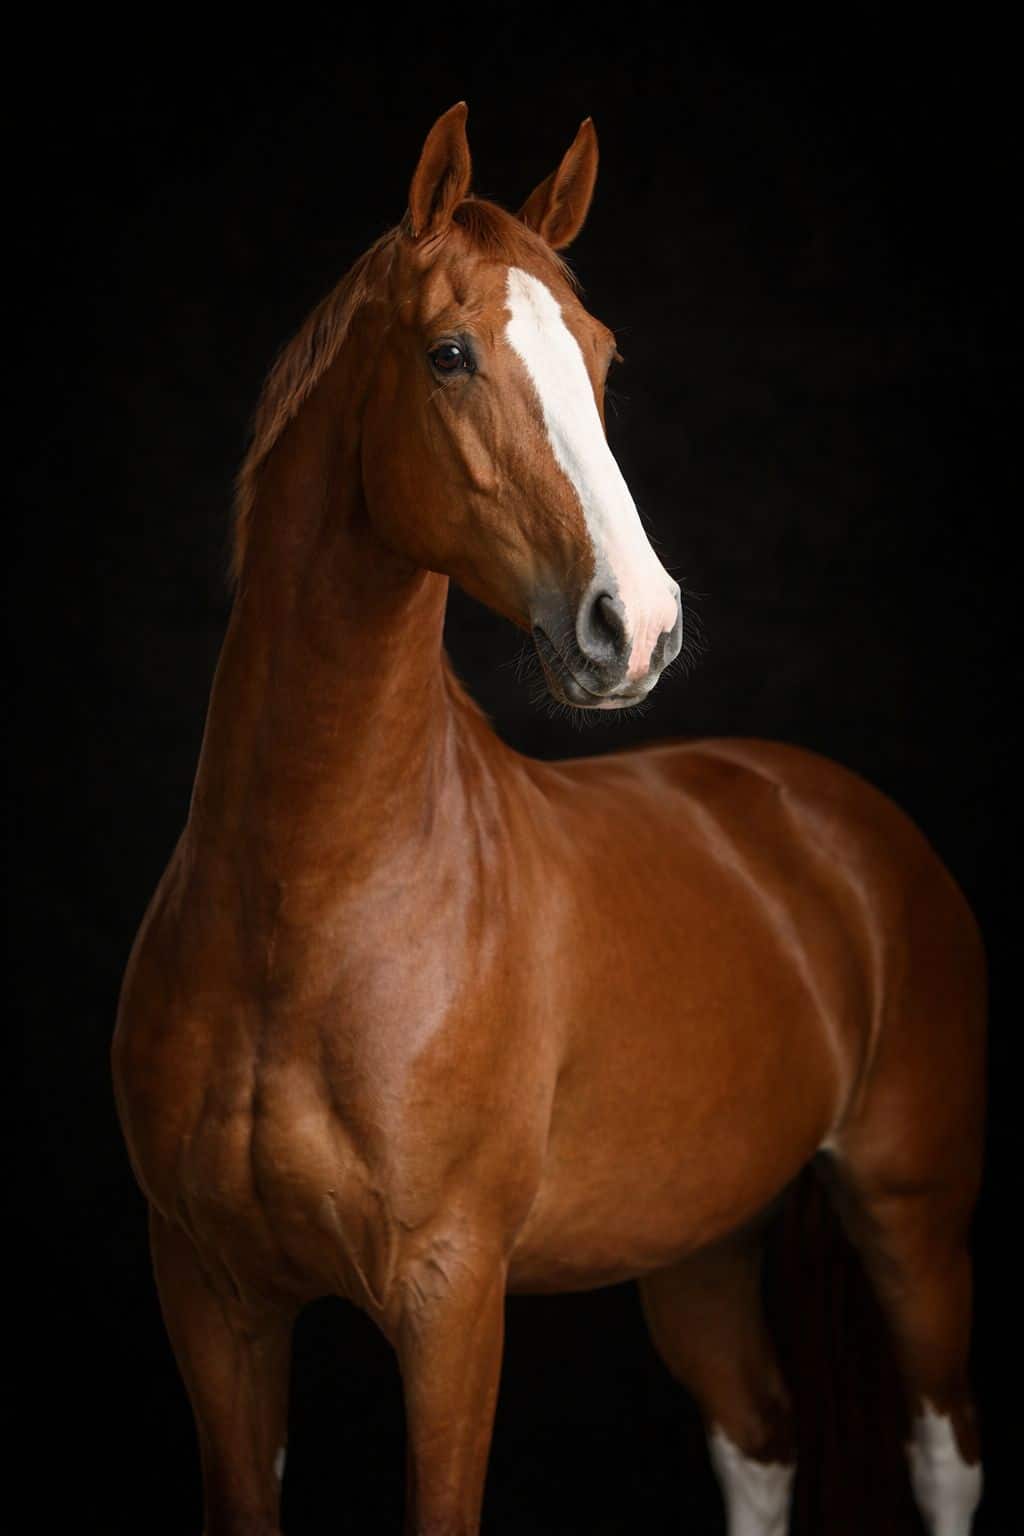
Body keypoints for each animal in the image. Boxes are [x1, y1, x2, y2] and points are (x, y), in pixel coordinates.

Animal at [112, 103, 987, 1535]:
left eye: (602, 358)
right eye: (450, 354)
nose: (638, 625)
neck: (309, 897)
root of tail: (835, 820)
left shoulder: (451, 1300)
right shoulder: (212, 1302)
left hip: (909, 1209)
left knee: (940, 1451)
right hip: (698, 1241)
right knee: (757, 1440)